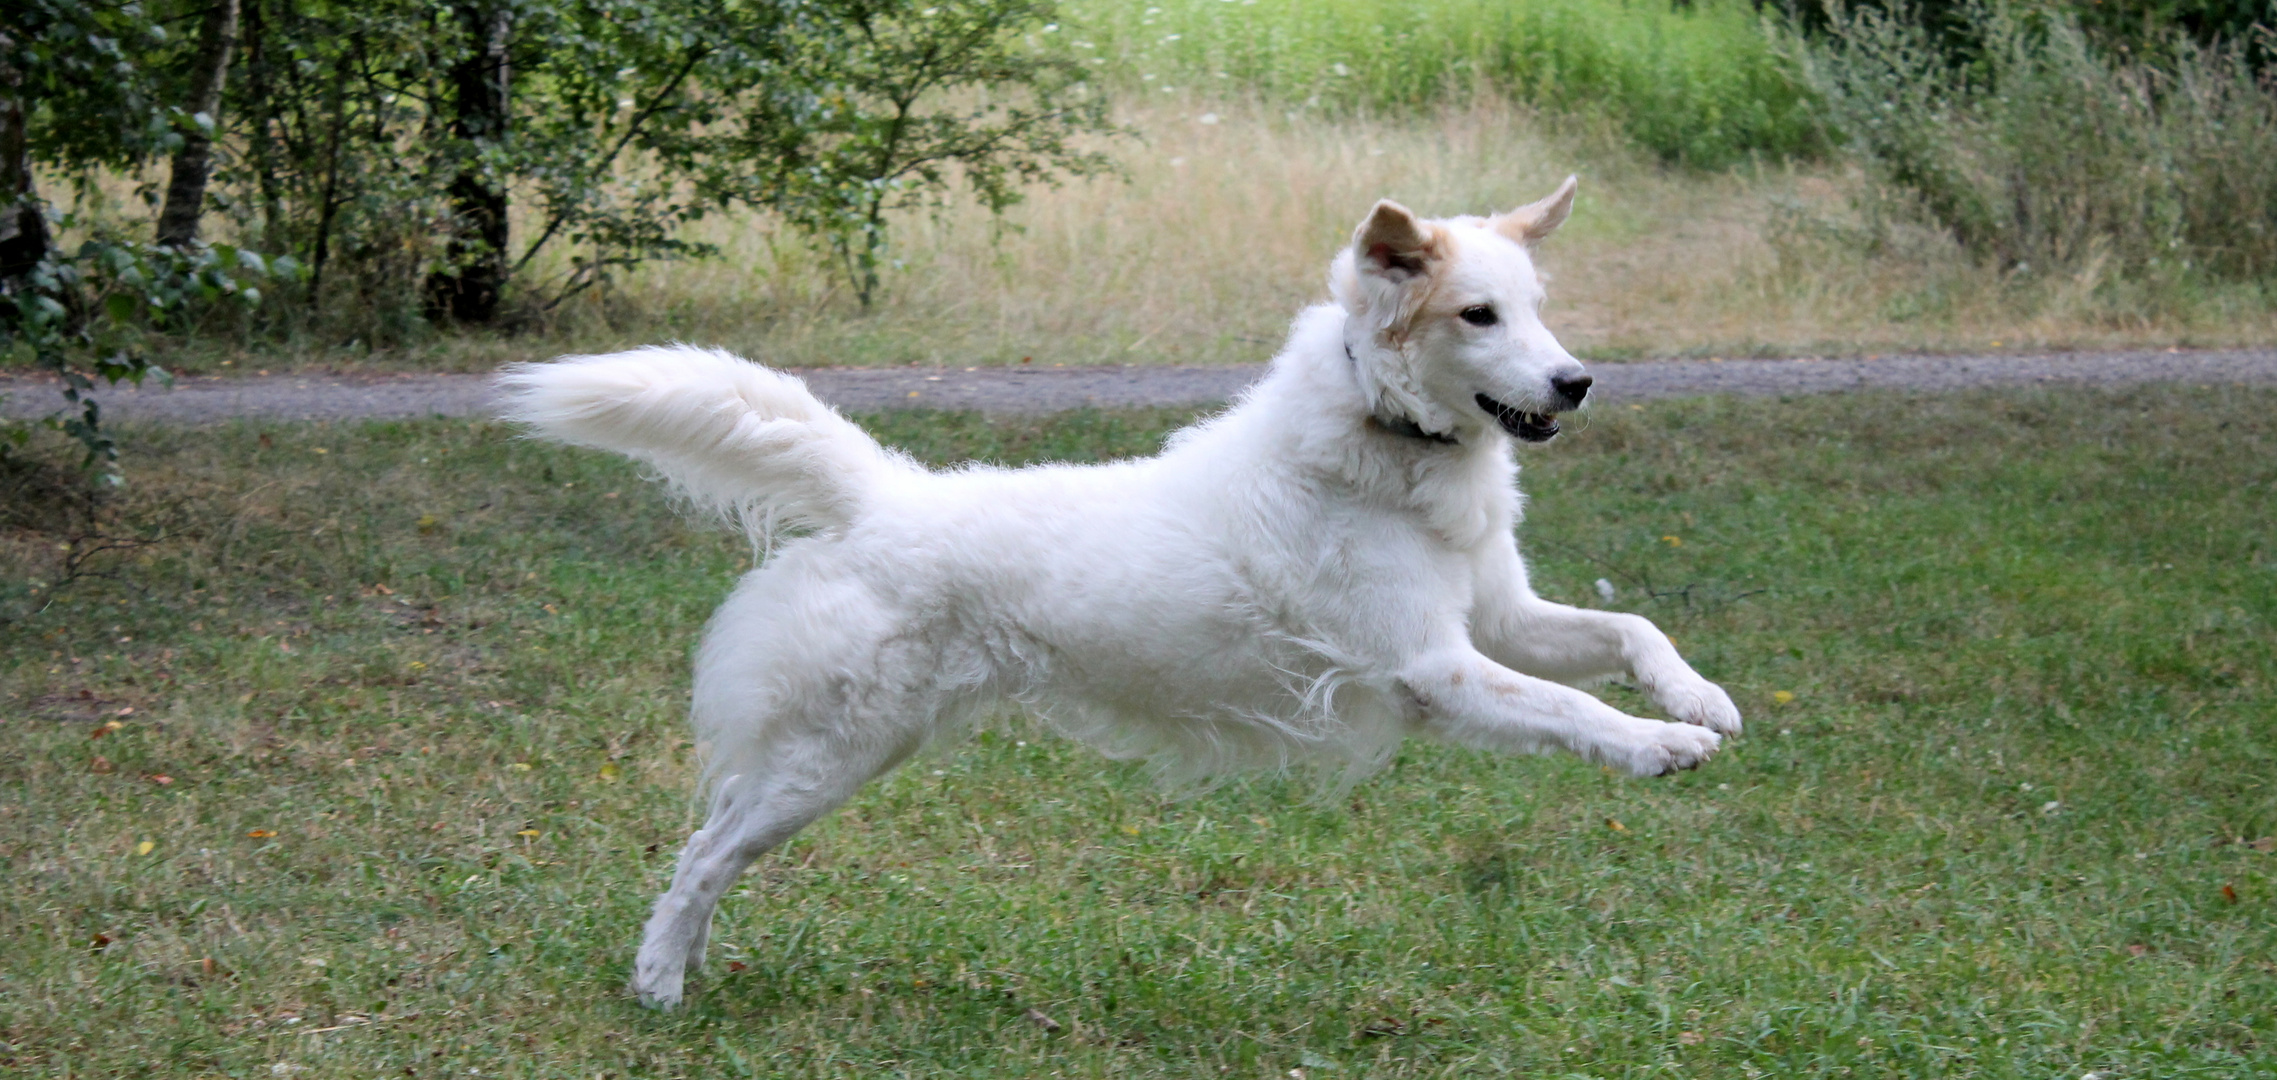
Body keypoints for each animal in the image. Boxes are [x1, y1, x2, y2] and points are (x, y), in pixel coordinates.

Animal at [498, 178, 1739, 1011]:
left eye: (1534, 307)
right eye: (1478, 316)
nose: (1578, 381)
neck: (1391, 445)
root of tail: (883, 494)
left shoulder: (1501, 621)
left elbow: (1629, 628)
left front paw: (1698, 701)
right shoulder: (1434, 669)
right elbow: (1572, 708)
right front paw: (1654, 747)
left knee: (711, 845)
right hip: (831, 755)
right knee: (702, 856)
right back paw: (661, 984)